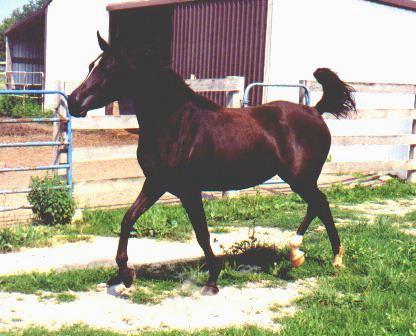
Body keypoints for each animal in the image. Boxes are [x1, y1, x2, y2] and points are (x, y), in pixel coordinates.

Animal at [68, 32, 354, 296]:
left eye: (107, 68)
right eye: (91, 65)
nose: (73, 102)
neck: (175, 123)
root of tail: (315, 111)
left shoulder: (188, 189)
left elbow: (202, 233)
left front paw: (212, 281)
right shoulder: (156, 183)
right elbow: (128, 219)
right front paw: (126, 275)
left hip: (300, 178)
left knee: (320, 204)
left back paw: (327, 257)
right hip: (300, 179)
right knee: (317, 205)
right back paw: (304, 255)